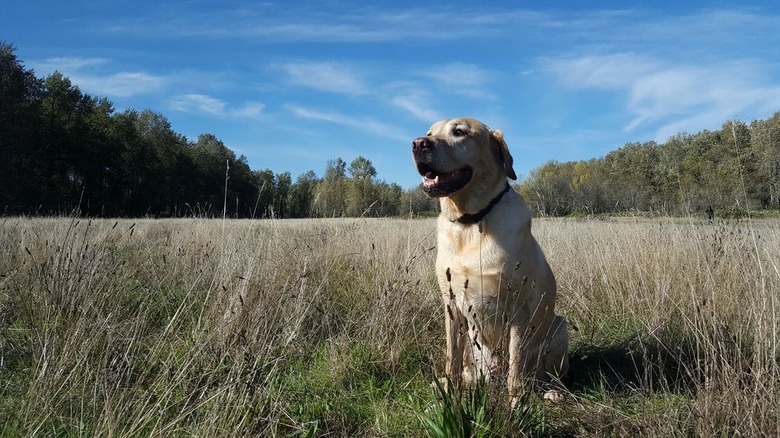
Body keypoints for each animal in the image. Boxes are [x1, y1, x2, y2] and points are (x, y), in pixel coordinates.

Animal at [412, 118, 568, 398]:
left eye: (459, 132)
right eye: (429, 133)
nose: (418, 144)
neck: (470, 223)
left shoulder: (518, 308)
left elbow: (515, 370)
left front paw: (514, 404)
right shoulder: (451, 304)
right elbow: (452, 357)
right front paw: (449, 391)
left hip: (561, 328)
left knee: (540, 375)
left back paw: (552, 391)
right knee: (468, 368)